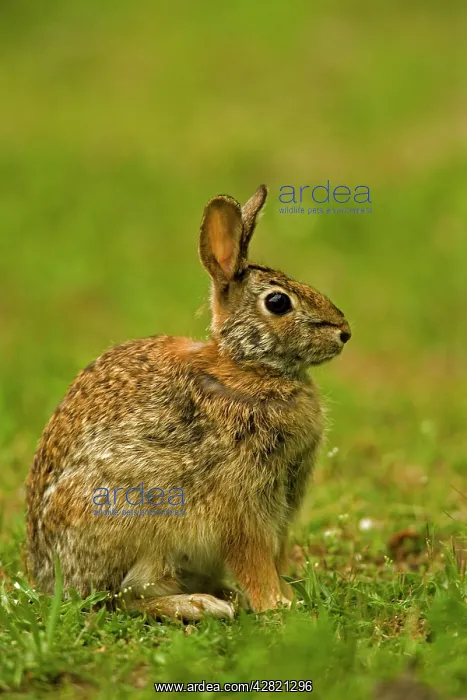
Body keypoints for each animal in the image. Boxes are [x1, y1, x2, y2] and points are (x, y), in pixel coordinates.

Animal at [25, 184, 351, 621]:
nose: (344, 331)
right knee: (127, 597)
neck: (246, 366)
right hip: (136, 523)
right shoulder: (241, 502)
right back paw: (201, 604)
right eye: (278, 303)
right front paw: (278, 605)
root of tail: (50, 579)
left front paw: (287, 596)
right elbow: (253, 557)